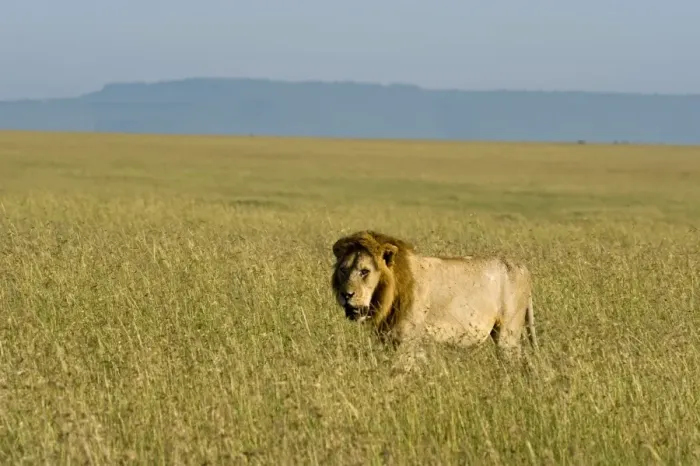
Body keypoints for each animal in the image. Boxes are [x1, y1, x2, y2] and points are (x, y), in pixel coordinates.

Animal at [330, 230, 538, 364]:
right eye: (343, 270)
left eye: (365, 271)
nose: (346, 294)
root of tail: (523, 267)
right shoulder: (388, 339)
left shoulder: (406, 341)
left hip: (507, 335)